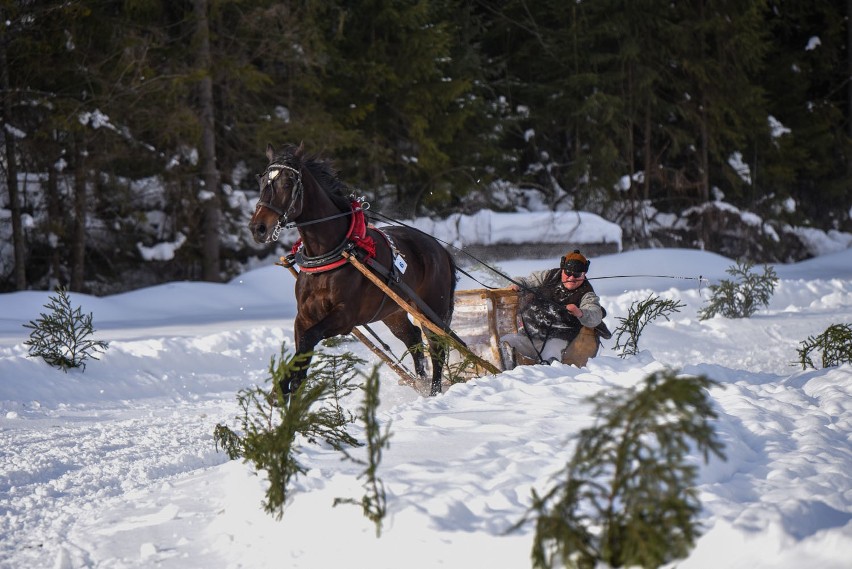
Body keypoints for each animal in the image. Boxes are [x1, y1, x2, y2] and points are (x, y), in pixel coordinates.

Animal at [250, 143, 456, 394]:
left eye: (288, 182)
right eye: (262, 181)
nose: (258, 227)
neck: (328, 254)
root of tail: (440, 249)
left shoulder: (344, 316)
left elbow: (309, 339)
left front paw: (288, 384)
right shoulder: (304, 316)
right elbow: (302, 350)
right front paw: (286, 387)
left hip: (432, 310)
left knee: (437, 348)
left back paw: (434, 391)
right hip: (394, 312)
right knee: (414, 338)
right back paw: (421, 384)